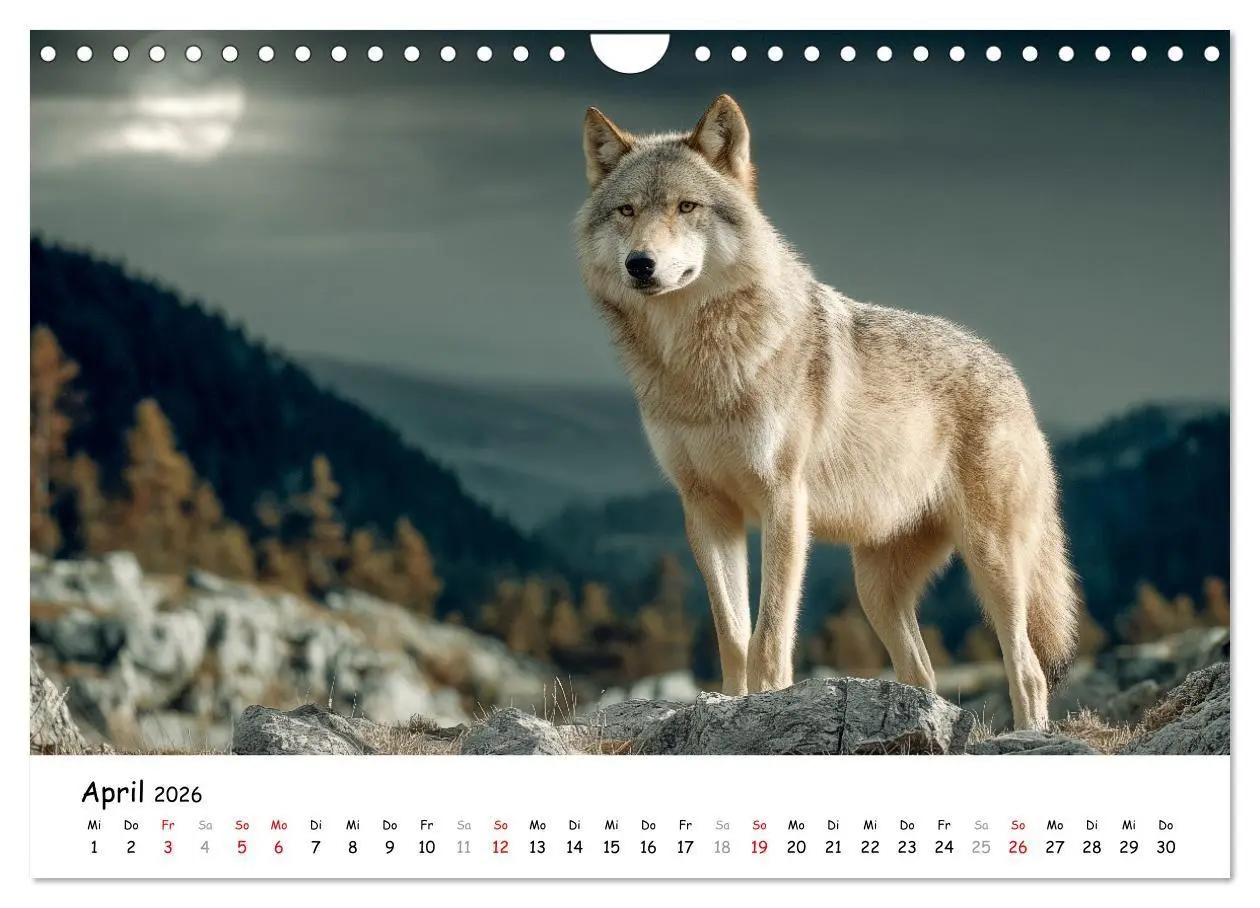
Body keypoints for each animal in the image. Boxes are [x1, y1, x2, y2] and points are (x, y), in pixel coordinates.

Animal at [574, 95, 1080, 730]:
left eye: (686, 207)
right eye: (626, 210)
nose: (640, 264)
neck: (700, 370)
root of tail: (1012, 376)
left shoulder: (784, 503)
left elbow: (769, 636)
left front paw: (766, 702)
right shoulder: (706, 509)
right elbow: (732, 633)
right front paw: (729, 704)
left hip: (994, 566)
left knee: (1029, 669)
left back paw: (1027, 733)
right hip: (875, 589)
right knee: (923, 674)